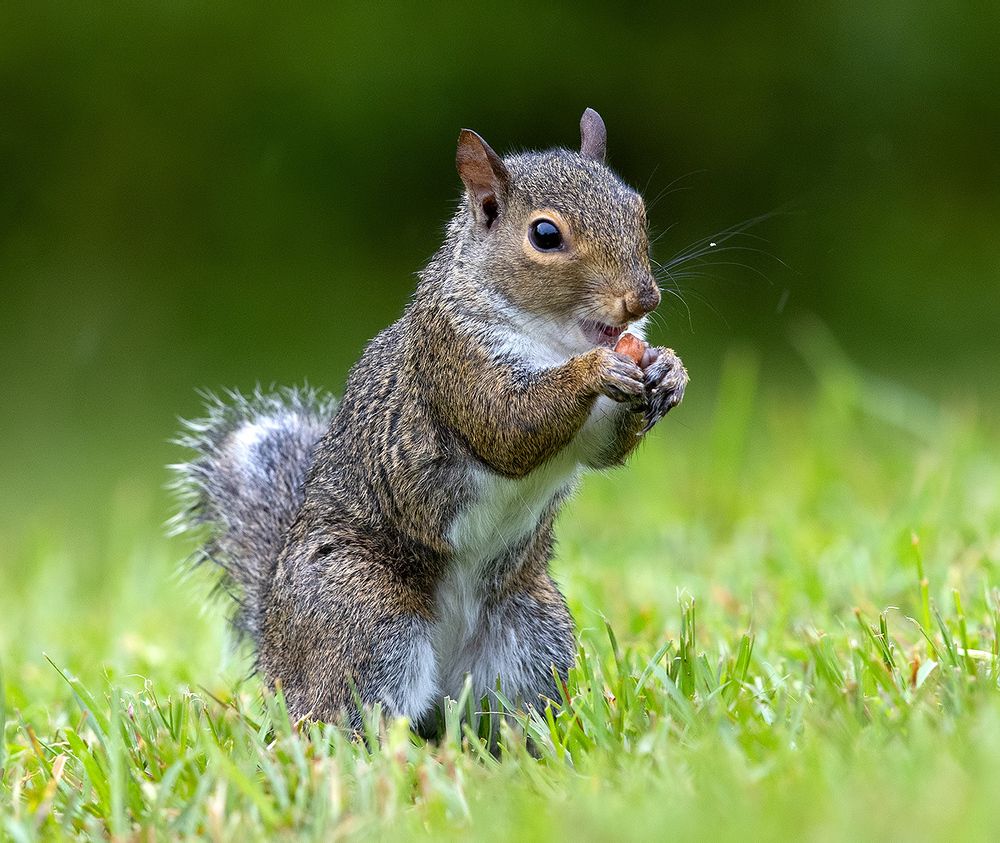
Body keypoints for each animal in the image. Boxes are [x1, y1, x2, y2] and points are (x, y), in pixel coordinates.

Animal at [172, 108, 688, 734]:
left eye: (638, 210)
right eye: (545, 235)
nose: (643, 301)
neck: (557, 338)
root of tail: (275, 640)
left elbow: (603, 448)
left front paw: (669, 370)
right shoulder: (453, 358)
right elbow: (509, 425)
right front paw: (594, 370)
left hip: (530, 633)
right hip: (362, 621)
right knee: (339, 713)